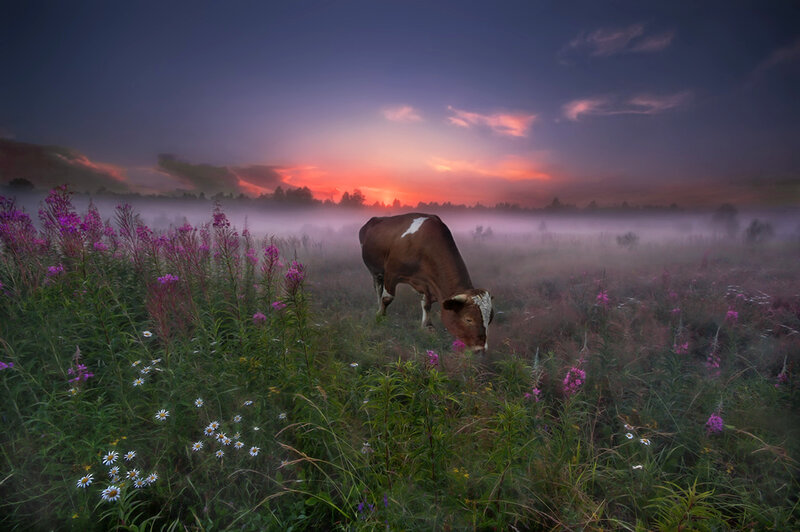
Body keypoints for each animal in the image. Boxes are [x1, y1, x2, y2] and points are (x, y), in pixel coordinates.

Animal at [359, 213, 493, 351]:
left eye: (490, 319)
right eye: (468, 319)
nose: (481, 348)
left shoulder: (428, 283)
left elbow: (426, 304)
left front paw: (427, 326)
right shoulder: (392, 272)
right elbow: (387, 298)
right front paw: (380, 317)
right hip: (376, 270)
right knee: (378, 289)